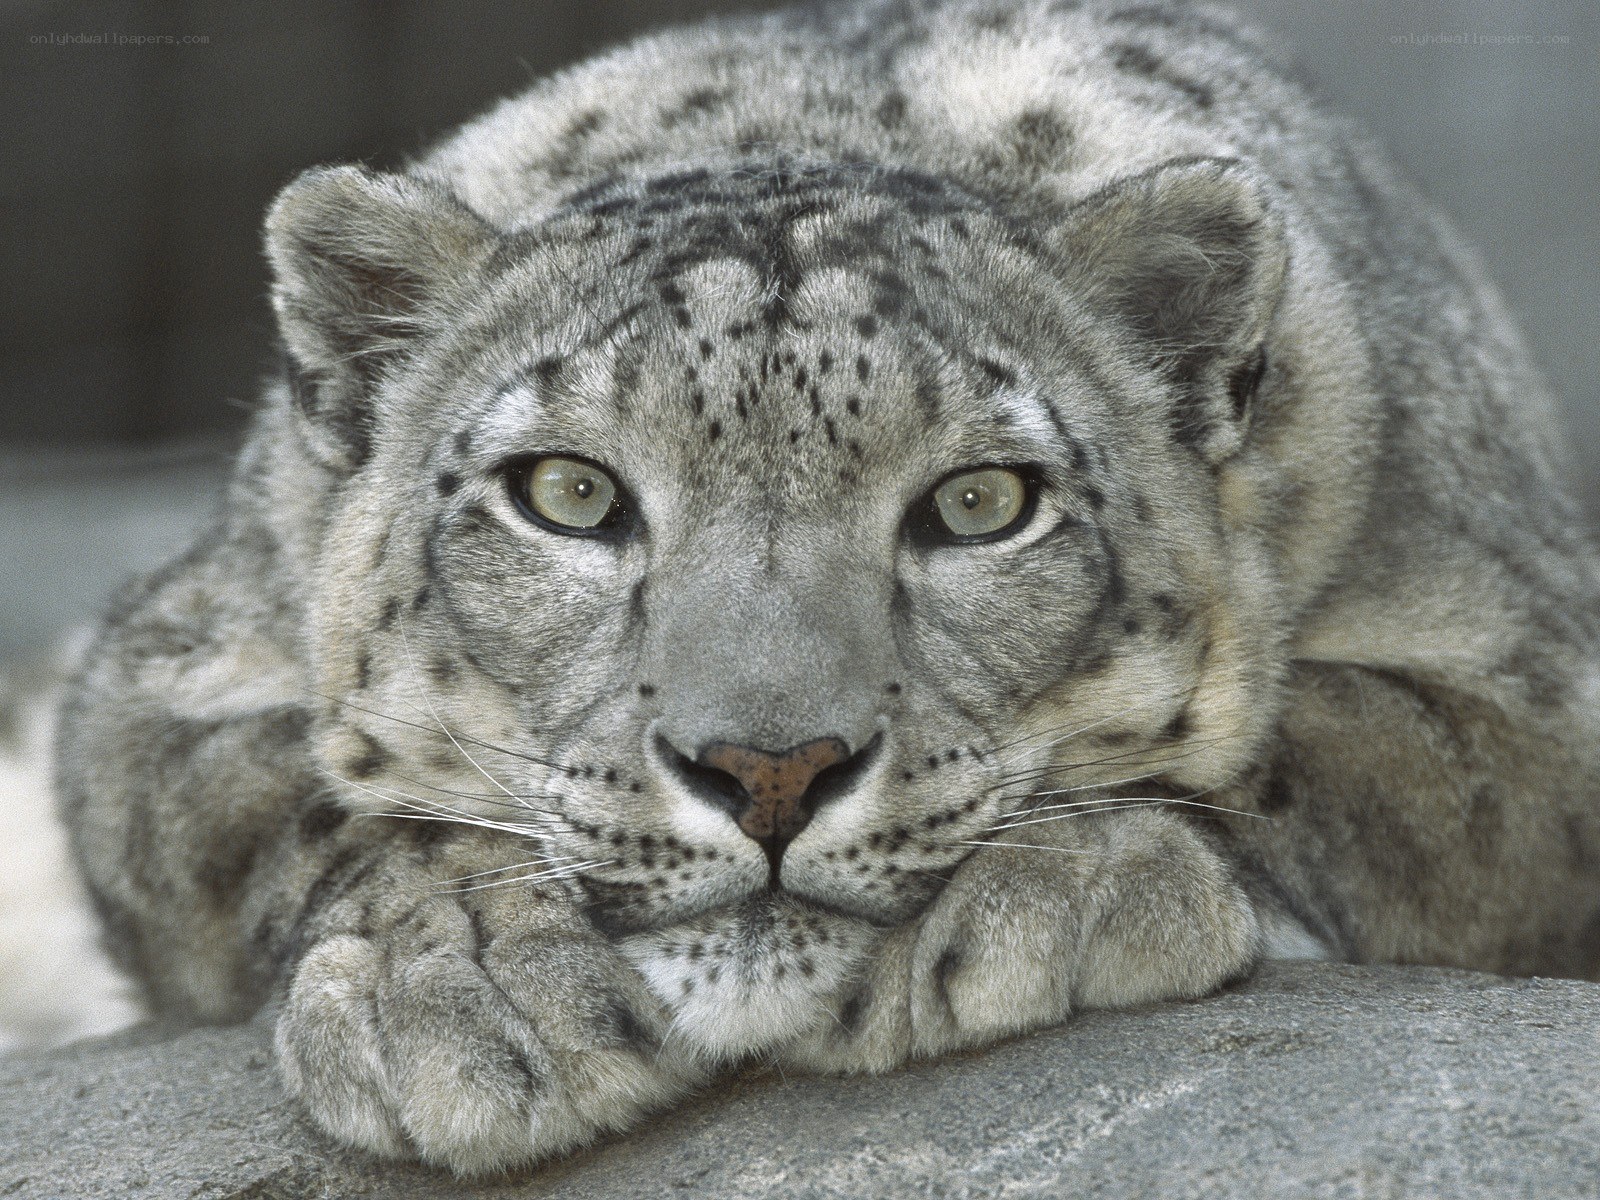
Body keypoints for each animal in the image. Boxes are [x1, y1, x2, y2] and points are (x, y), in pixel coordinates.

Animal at [54, 0, 1600, 1176]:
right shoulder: (163, 672)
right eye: (569, 493)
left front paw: (1063, 890)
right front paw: (468, 985)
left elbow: (1310, 757)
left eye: (982, 503)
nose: (770, 769)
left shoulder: (1531, 696)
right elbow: (297, 795)